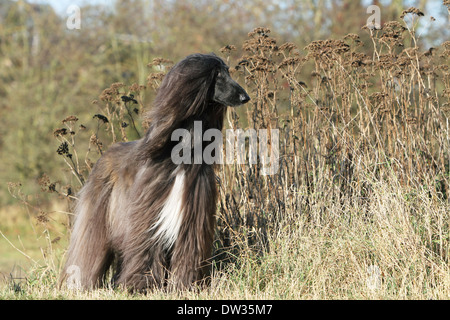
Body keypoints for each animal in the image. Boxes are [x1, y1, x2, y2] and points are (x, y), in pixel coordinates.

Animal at [60, 53, 250, 292]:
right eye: (217, 75)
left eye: (227, 72)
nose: (245, 97)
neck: (182, 154)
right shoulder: (147, 214)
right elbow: (147, 250)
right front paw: (141, 286)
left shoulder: (193, 218)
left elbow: (189, 251)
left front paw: (185, 286)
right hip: (99, 212)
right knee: (89, 250)